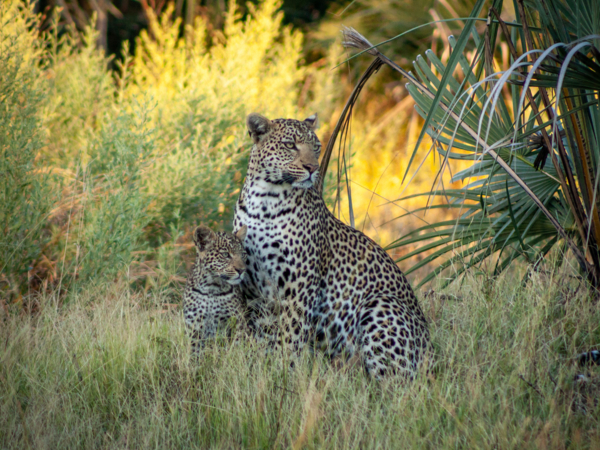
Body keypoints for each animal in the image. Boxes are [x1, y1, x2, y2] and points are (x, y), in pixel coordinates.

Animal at [234, 113, 432, 380]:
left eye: (316, 148)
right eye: (290, 145)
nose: (313, 169)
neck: (264, 201)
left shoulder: (300, 284)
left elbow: (291, 337)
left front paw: (285, 373)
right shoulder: (253, 287)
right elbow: (263, 338)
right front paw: (264, 372)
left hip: (379, 305)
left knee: (396, 380)